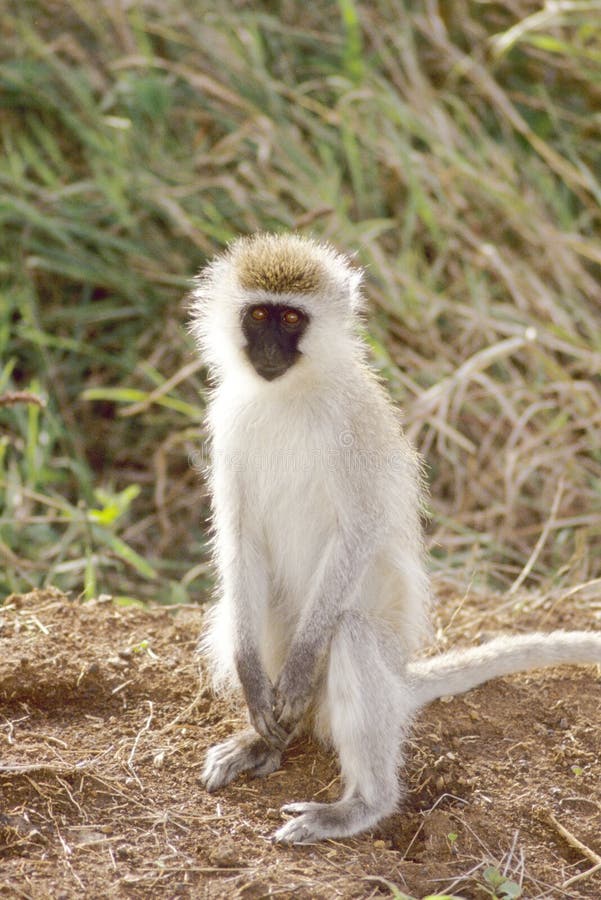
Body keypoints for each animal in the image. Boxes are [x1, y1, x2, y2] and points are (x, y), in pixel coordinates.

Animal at [190, 234, 600, 844]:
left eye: (292, 318)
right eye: (259, 315)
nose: (268, 349)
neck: (290, 392)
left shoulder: (352, 425)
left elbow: (360, 529)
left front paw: (302, 665)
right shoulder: (229, 421)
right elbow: (239, 538)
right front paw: (249, 678)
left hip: (374, 658)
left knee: (353, 636)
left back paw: (359, 804)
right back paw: (263, 742)